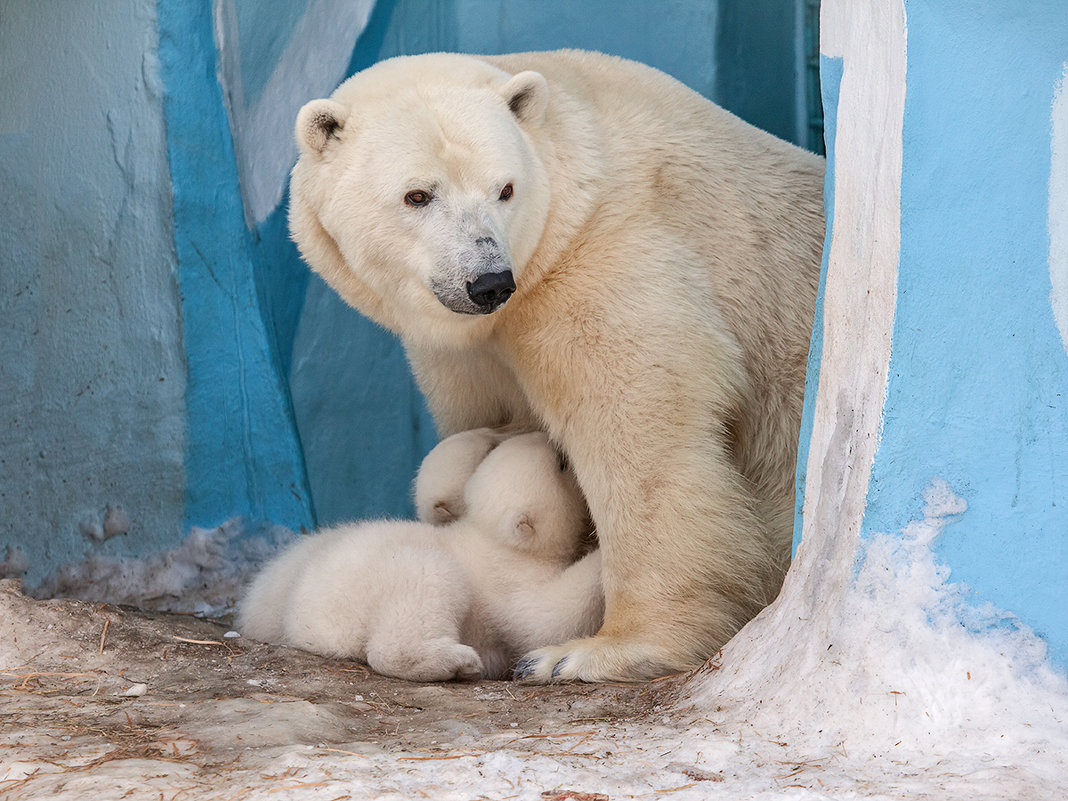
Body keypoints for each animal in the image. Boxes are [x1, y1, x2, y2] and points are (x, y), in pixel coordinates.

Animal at [238, 433, 602, 683]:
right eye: (561, 463)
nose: (551, 438)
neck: (492, 539)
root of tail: (305, 624)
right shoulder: (510, 581)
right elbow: (542, 617)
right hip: (374, 590)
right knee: (429, 582)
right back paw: (456, 661)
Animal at [288, 48, 820, 683]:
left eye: (505, 190)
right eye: (418, 195)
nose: (488, 281)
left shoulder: (606, 265)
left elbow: (640, 433)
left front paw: (597, 648)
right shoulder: (470, 348)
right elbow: (488, 412)